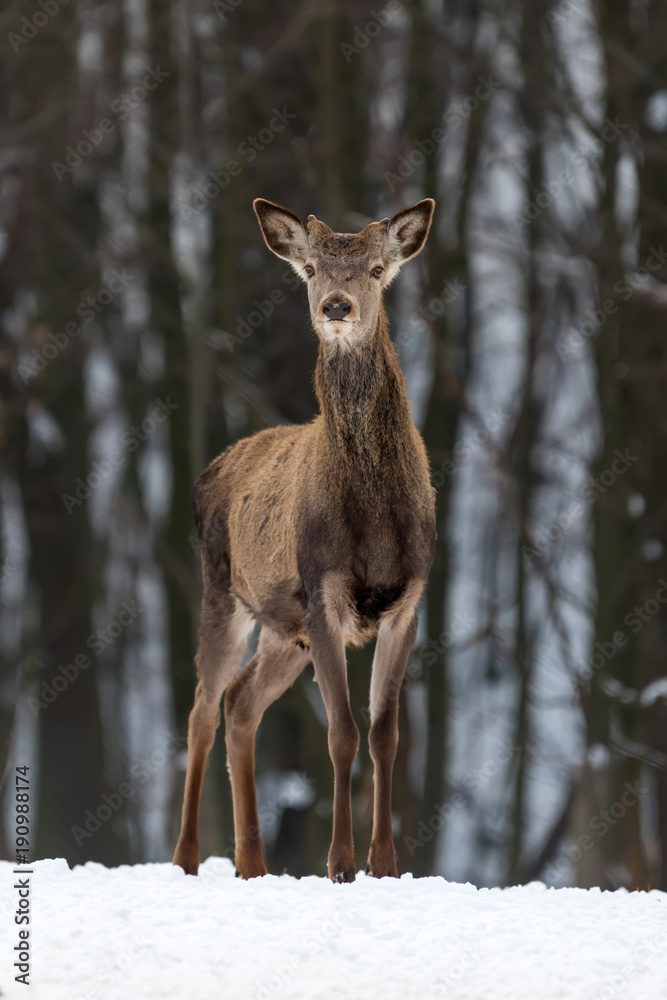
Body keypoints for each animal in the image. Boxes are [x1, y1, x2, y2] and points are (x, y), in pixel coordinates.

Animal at [174, 195, 438, 884]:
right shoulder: (323, 590)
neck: (375, 524)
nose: (337, 307)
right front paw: (340, 863)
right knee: (202, 708)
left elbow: (384, 734)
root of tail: (209, 472)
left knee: (241, 704)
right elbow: (341, 732)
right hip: (224, 592)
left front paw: (385, 864)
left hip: (281, 627)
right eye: (313, 270)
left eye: (376, 270)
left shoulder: (409, 601)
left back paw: (252, 863)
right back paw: (186, 858)